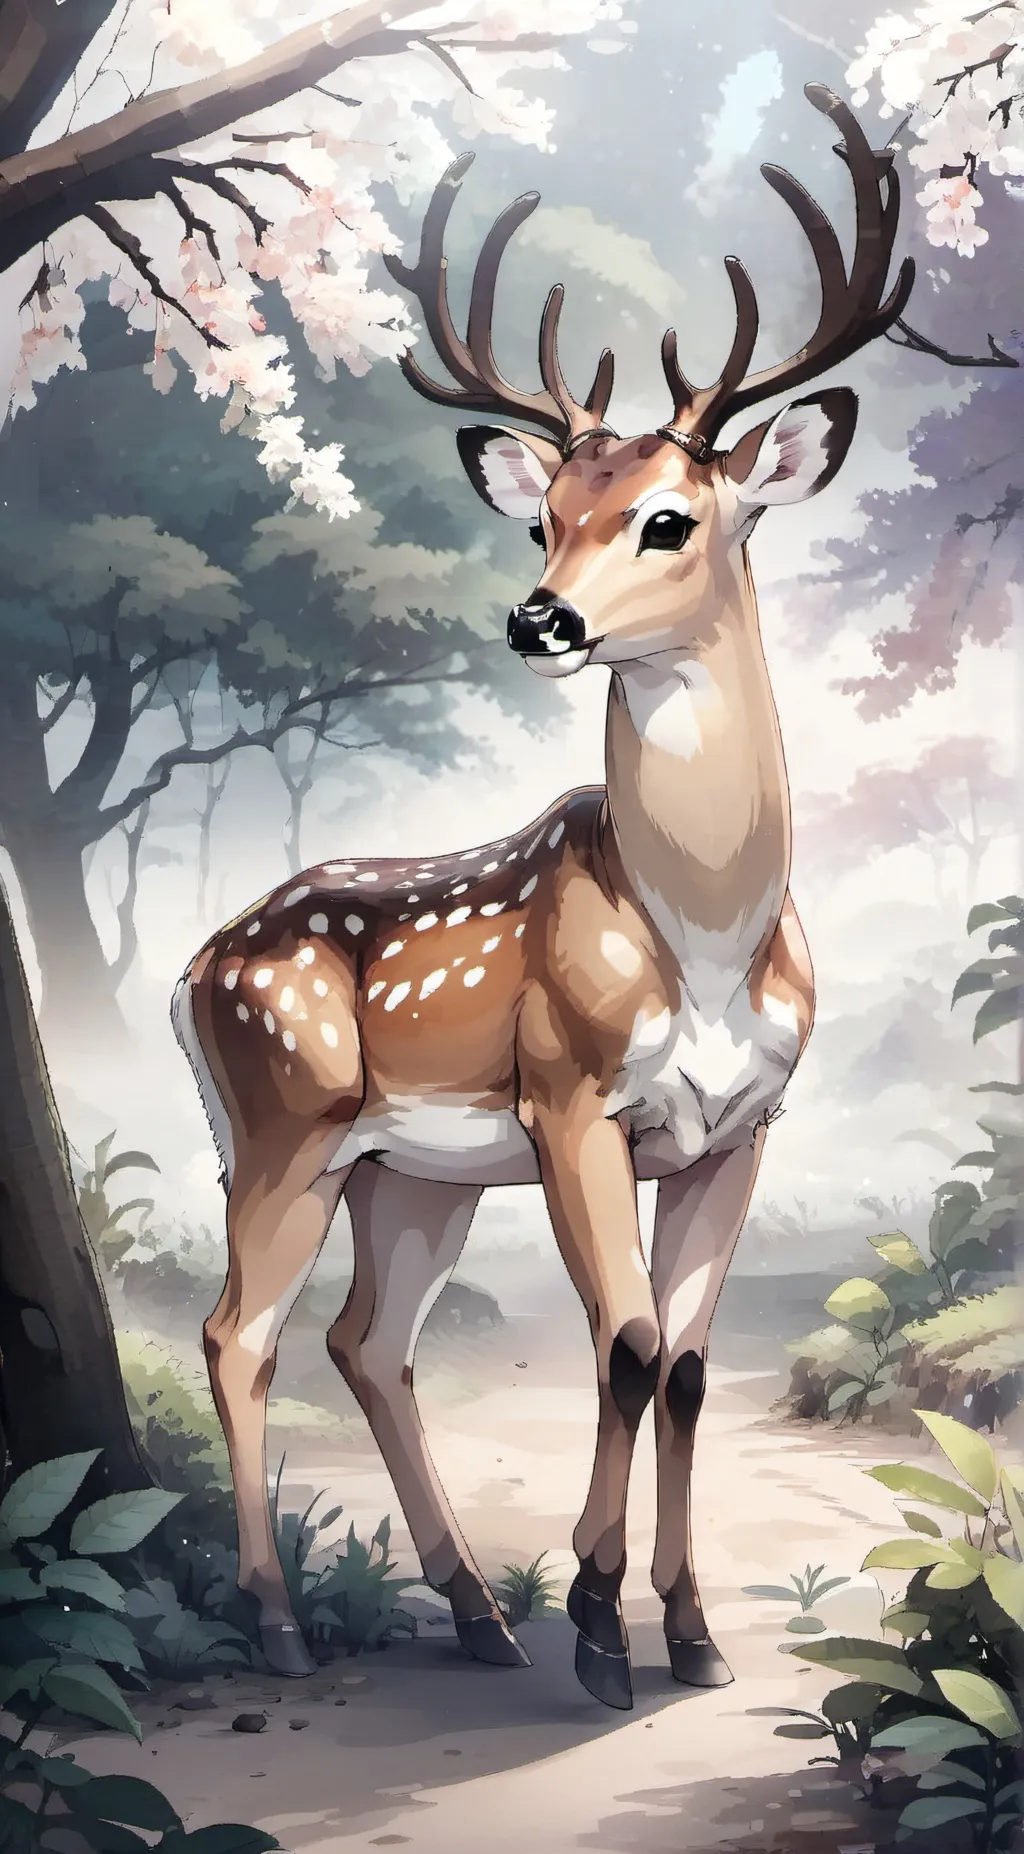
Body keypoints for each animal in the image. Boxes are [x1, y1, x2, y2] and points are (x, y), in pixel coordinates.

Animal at [172, 82, 914, 1711]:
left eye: (669, 518)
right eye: (544, 517)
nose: (539, 618)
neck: (703, 944)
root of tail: (191, 970)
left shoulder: (741, 1130)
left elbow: (686, 1361)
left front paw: (688, 1632)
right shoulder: (571, 1094)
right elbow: (624, 1342)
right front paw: (595, 1620)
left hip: (411, 1174)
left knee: (365, 1340)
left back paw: (471, 1609)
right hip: (282, 1125)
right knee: (237, 1331)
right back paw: (283, 1620)